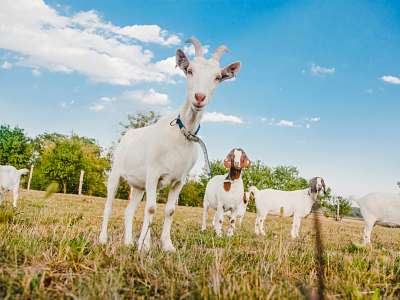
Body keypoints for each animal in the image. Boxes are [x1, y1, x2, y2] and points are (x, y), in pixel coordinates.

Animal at [99, 38, 241, 253]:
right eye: (189, 70)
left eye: (218, 77)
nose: (199, 97)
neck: (182, 133)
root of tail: (128, 135)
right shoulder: (153, 174)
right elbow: (151, 208)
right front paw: (145, 245)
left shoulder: (179, 181)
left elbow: (170, 210)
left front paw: (167, 245)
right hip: (115, 173)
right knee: (108, 205)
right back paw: (103, 239)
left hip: (137, 185)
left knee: (128, 211)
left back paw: (128, 242)